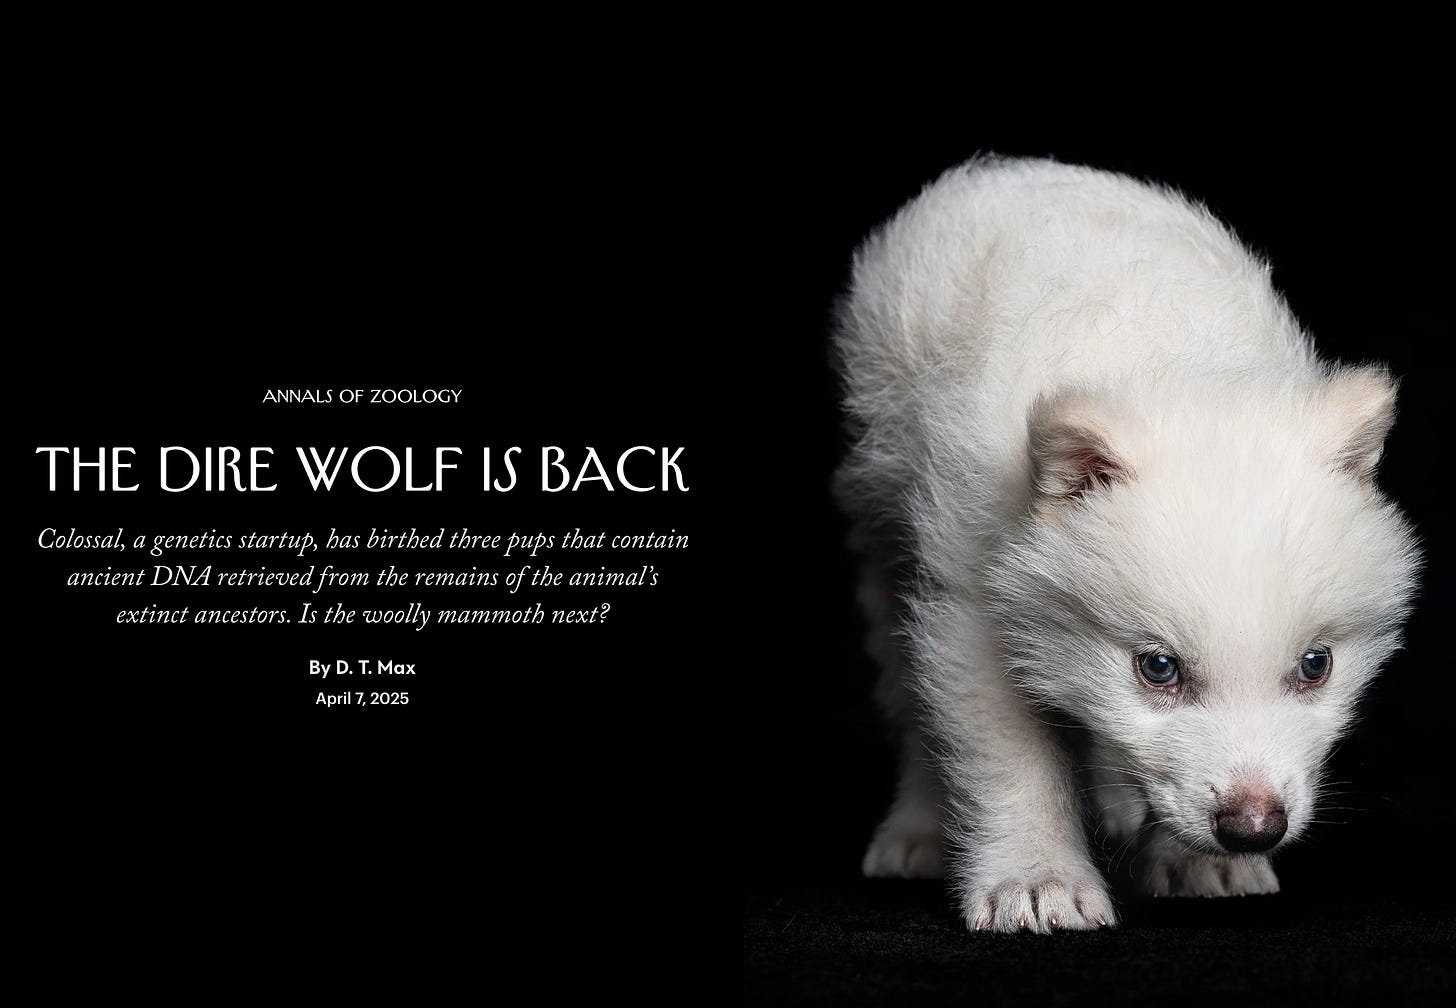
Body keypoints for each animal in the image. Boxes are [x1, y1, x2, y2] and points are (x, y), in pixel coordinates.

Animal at [832, 157, 1420, 933]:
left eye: (1316, 665)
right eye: (1158, 668)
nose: (1253, 827)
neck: (1166, 366)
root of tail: (1025, 169)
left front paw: (1194, 861)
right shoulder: (970, 594)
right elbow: (1007, 749)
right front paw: (1036, 880)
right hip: (884, 514)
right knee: (905, 684)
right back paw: (918, 829)